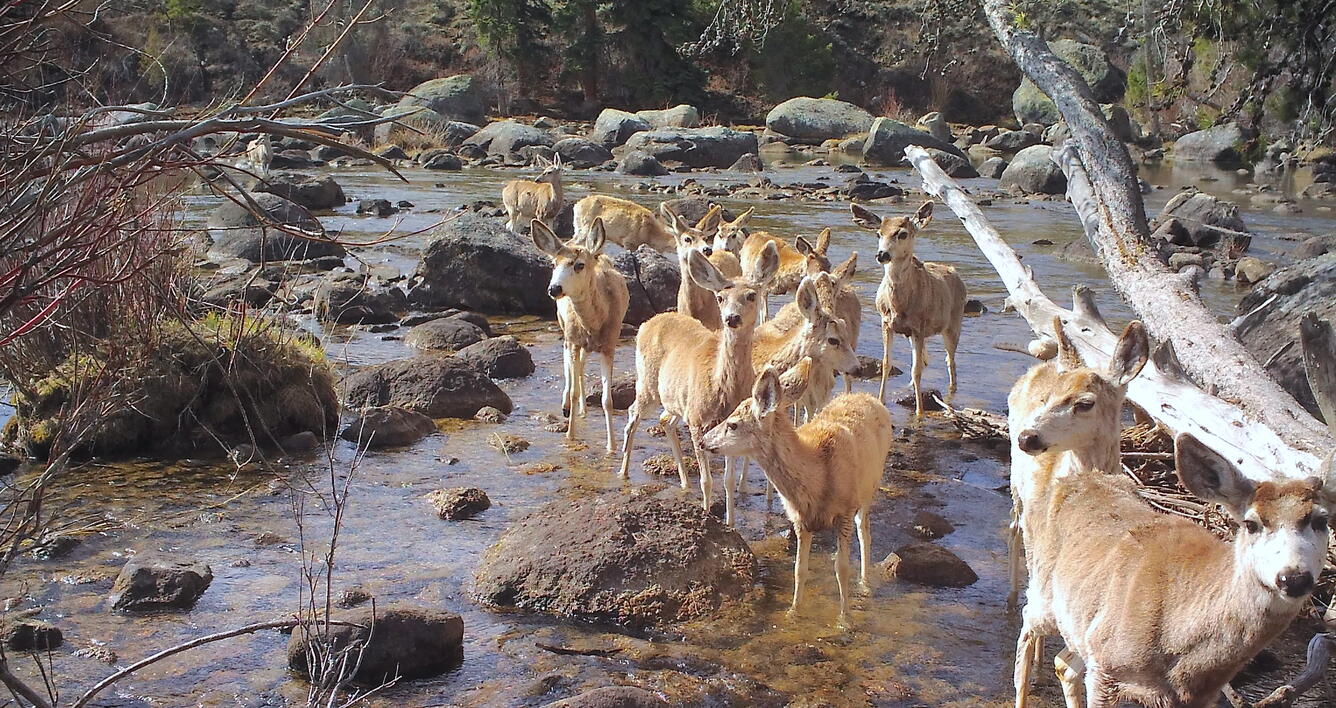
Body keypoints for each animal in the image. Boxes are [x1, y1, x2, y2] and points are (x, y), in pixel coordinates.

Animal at [531, 218, 630, 453]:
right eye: (553, 264)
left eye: (579, 265)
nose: (554, 289)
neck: (593, 323)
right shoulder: (574, 338)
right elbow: (574, 389)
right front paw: (570, 435)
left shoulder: (610, 344)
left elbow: (607, 400)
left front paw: (612, 446)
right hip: (564, 327)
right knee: (568, 362)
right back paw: (566, 405)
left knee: (581, 366)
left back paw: (583, 409)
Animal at [618, 241, 781, 526]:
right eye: (720, 298)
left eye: (751, 295)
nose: (731, 318)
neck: (722, 387)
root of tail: (650, 321)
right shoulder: (696, 420)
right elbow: (707, 481)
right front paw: (706, 515)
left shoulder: (729, 425)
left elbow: (728, 481)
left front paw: (730, 523)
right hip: (647, 384)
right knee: (632, 414)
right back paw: (623, 472)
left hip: (675, 399)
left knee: (665, 421)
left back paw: (684, 482)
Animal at [702, 357, 892, 626]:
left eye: (733, 424)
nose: (703, 441)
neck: (817, 476)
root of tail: (868, 397)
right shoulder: (800, 520)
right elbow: (799, 569)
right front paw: (793, 612)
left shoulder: (845, 510)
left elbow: (842, 568)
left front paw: (844, 619)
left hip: (868, 490)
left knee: (864, 532)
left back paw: (865, 584)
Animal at [850, 200, 966, 414]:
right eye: (878, 233)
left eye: (902, 234)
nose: (882, 254)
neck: (898, 304)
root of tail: (954, 272)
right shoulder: (887, 323)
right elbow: (887, 363)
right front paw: (881, 400)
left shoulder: (919, 327)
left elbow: (916, 369)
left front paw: (919, 412)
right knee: (925, 359)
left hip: (953, 324)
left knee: (949, 359)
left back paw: (951, 392)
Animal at [1013, 432, 1334, 708]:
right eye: (1251, 523)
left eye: (1321, 520)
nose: (1293, 577)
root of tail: (1073, 480)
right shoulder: (1106, 669)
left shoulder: (1198, 696)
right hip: (1046, 591)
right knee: (1027, 621)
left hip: (1082, 625)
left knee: (1065, 665)